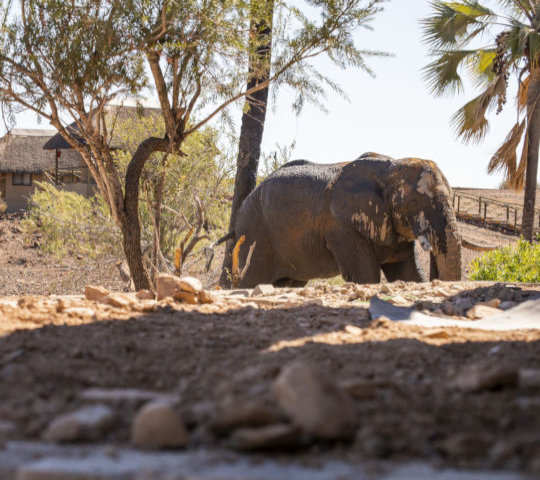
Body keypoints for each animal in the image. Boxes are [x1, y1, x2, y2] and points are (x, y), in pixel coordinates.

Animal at [219, 153, 464, 288]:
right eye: (413, 203)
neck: (390, 167)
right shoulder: (342, 227)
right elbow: (365, 275)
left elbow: (407, 274)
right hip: (255, 235)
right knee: (252, 279)